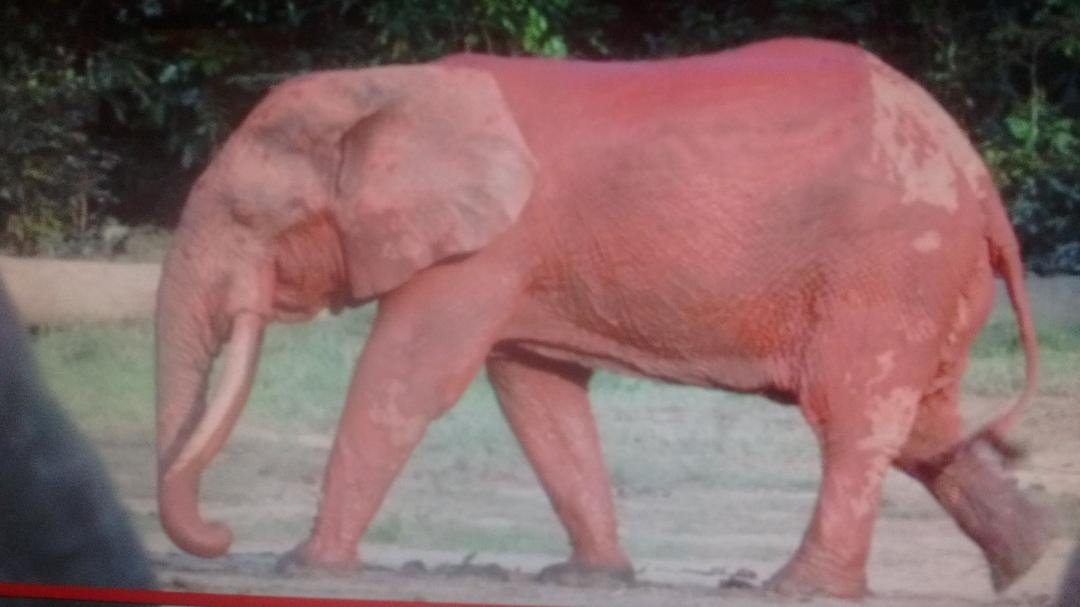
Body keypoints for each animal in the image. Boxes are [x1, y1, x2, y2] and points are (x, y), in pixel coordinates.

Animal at [154, 37, 1053, 598]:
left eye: (245, 215)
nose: (222, 533)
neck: (389, 84)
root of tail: (981, 182)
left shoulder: (483, 251)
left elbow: (404, 379)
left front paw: (302, 567)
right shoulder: (515, 260)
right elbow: (536, 392)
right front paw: (588, 580)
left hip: (890, 264)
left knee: (855, 416)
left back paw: (800, 588)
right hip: (922, 278)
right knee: (926, 429)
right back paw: (1035, 568)